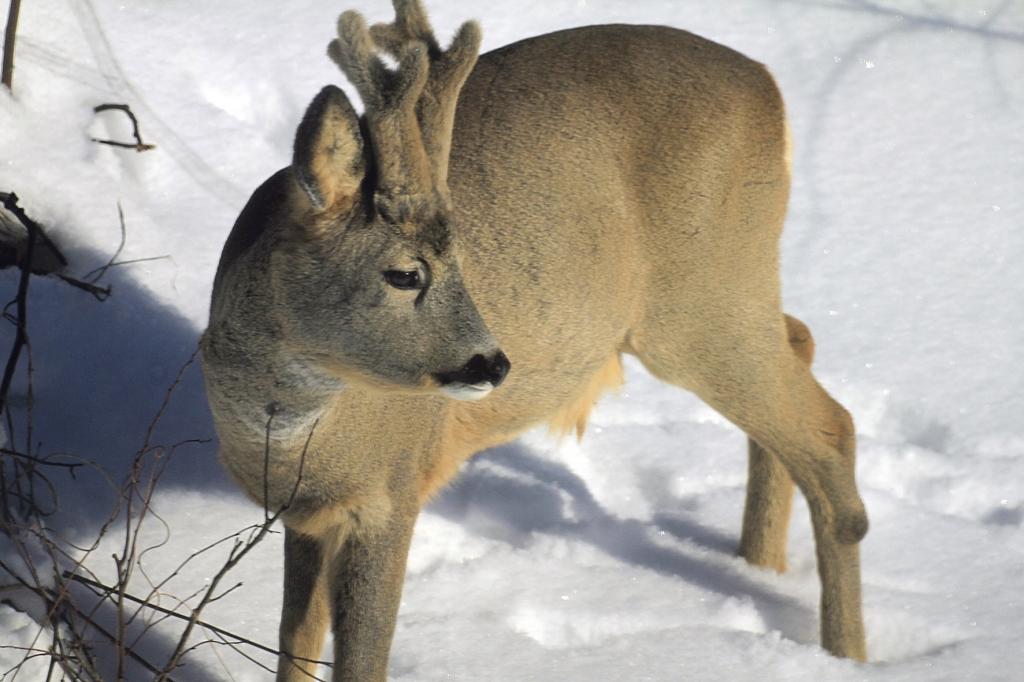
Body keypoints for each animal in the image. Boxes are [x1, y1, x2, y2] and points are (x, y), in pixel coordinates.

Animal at [201, 2, 872, 675]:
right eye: (404, 273)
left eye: (461, 262)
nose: (494, 365)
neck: (291, 436)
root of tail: (768, 86)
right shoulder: (308, 516)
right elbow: (294, 646)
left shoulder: (391, 490)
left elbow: (361, 662)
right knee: (800, 342)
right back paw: (759, 565)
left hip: (701, 299)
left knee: (831, 424)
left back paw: (847, 650)